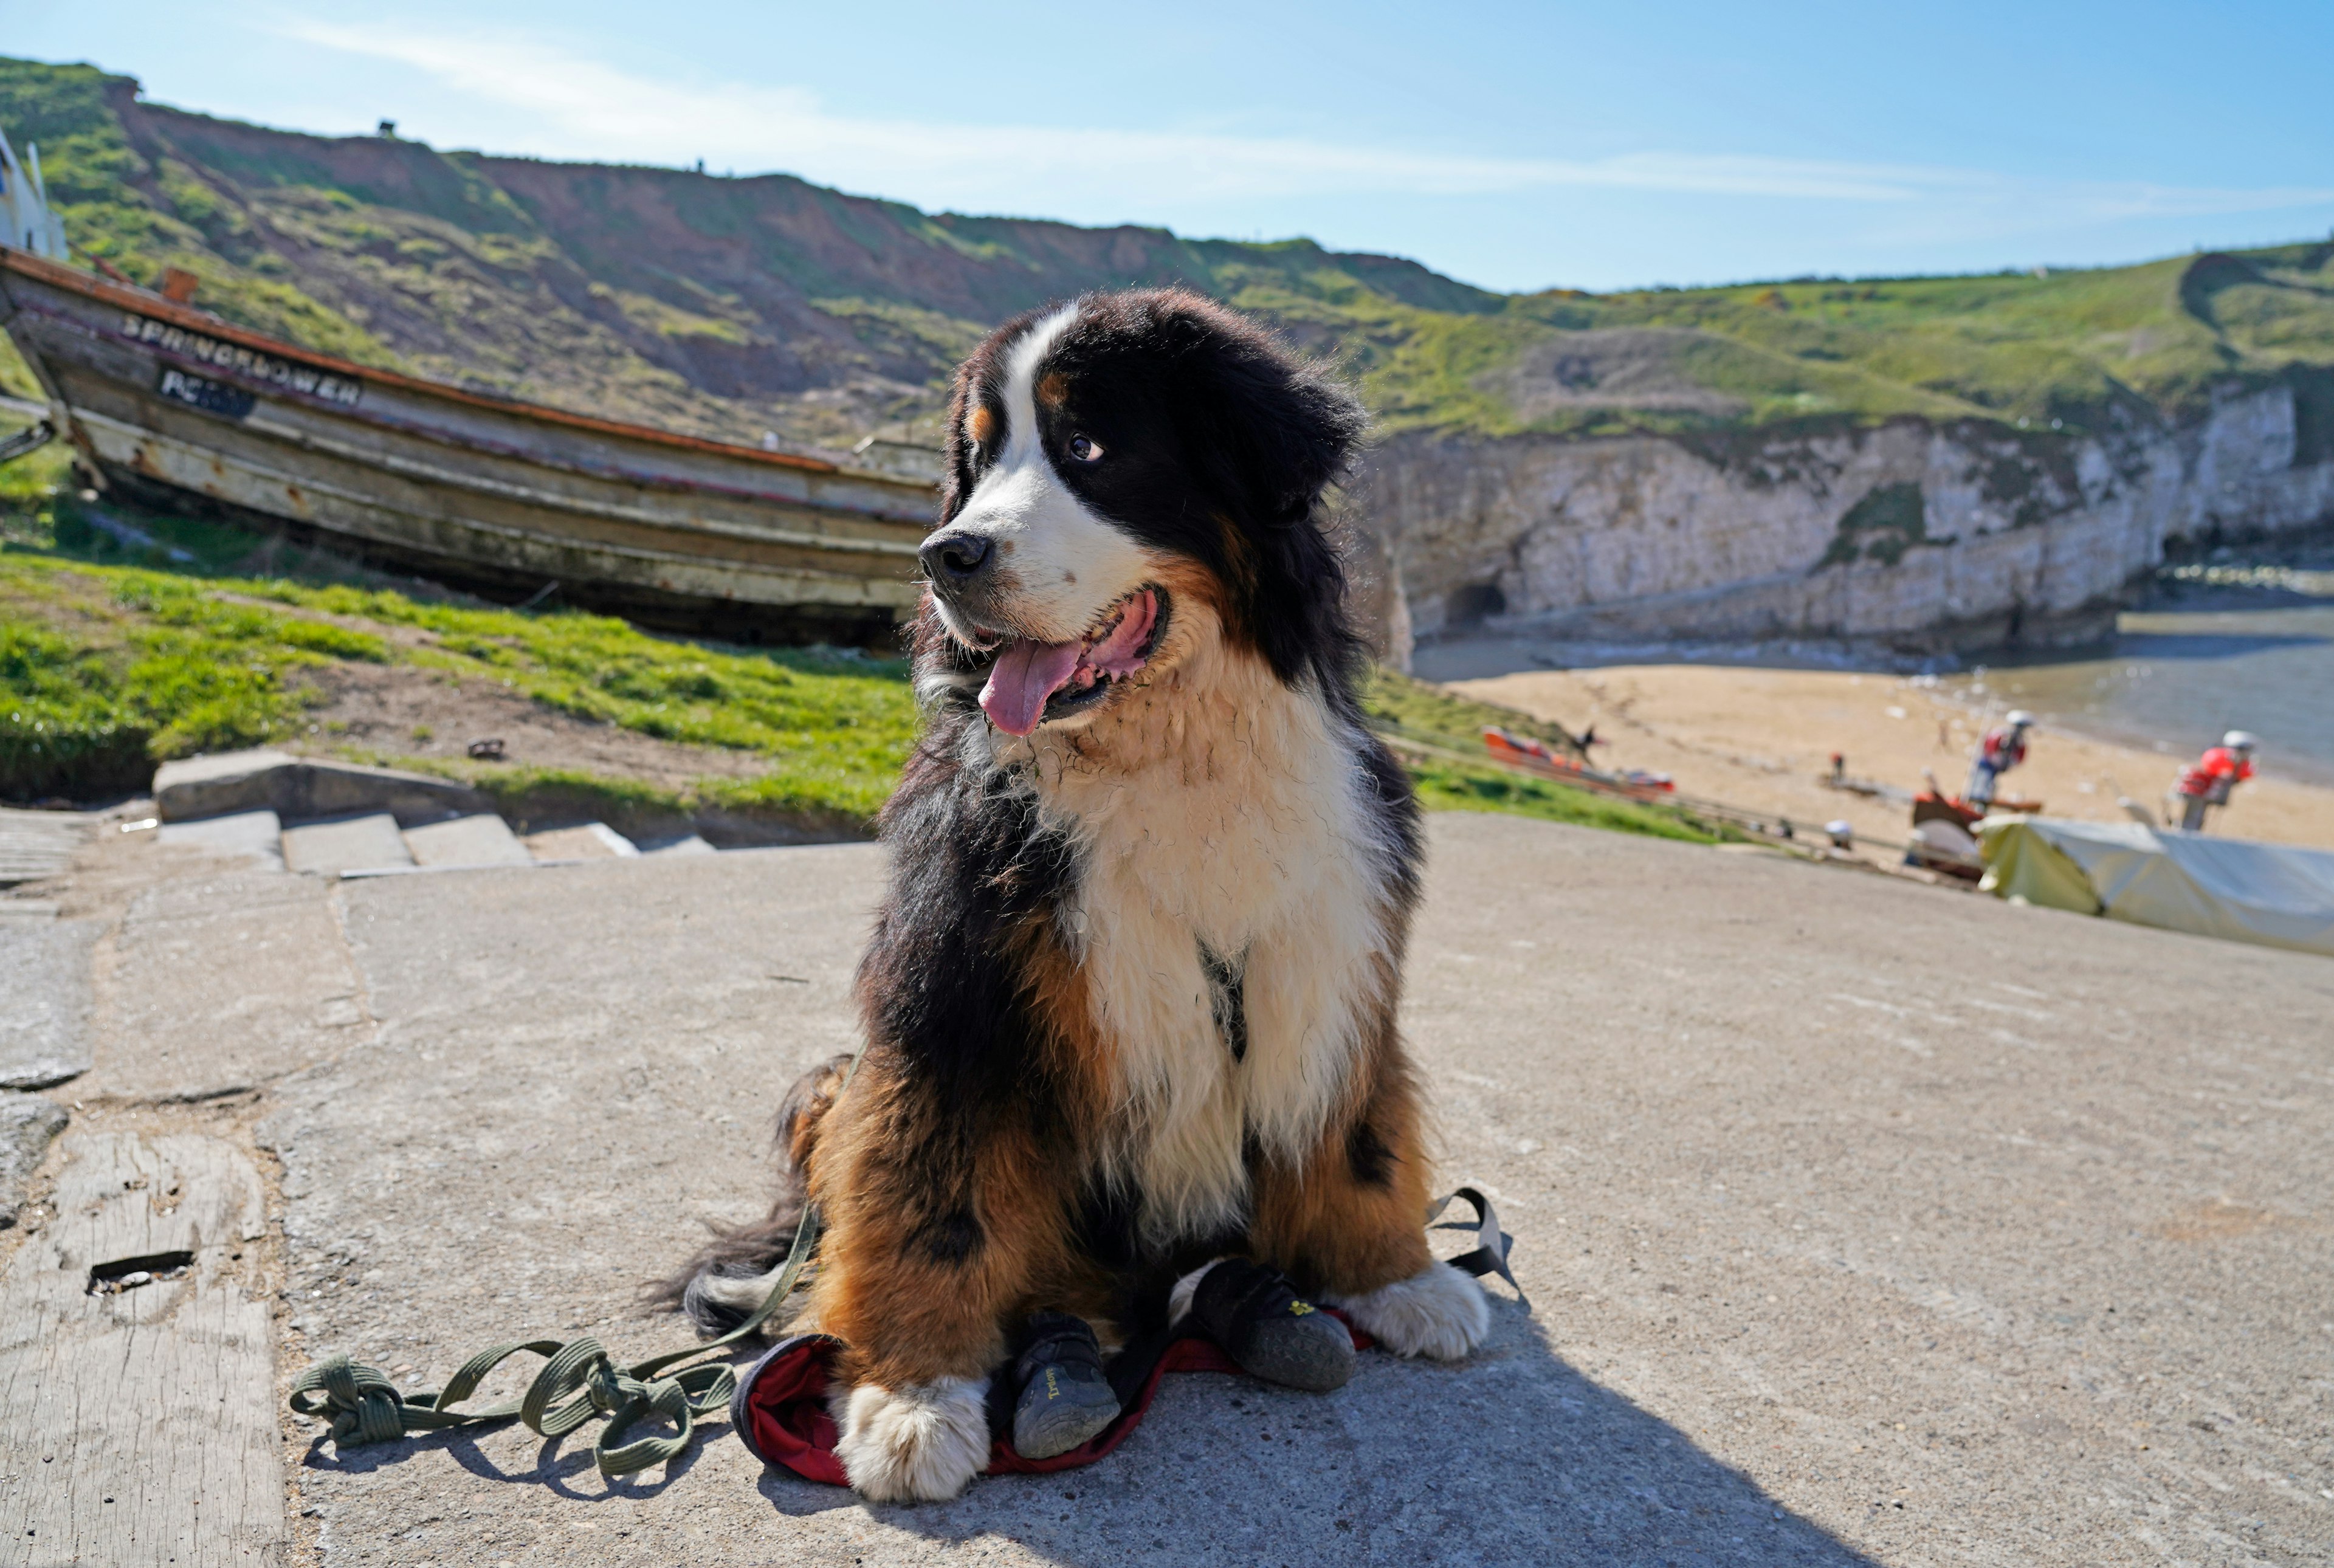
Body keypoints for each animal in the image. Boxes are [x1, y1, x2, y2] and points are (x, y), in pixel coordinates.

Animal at [667, 288, 1484, 1502]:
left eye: (1089, 448)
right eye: (977, 459)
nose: (945, 555)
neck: (1171, 757)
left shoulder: (1330, 956)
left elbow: (1361, 1136)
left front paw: (1399, 1277)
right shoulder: (955, 997)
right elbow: (932, 1203)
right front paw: (912, 1395)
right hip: (837, 1080)